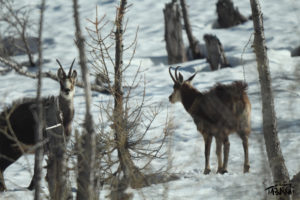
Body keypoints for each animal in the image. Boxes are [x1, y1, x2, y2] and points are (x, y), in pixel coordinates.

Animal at [0, 59, 77, 191]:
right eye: (61, 82)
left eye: (72, 81)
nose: (67, 90)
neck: (64, 119)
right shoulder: (43, 146)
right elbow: (38, 169)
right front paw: (32, 188)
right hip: (11, 148)